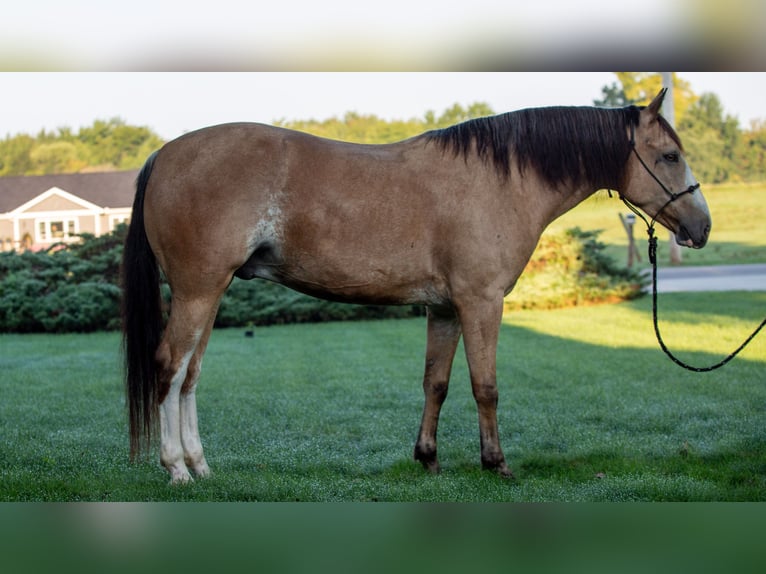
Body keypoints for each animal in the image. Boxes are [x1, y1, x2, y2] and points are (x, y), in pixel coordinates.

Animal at [122, 89, 711, 483]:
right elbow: (485, 386)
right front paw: (496, 463)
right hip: (198, 291)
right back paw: (176, 469)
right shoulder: (480, 302)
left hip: (210, 293)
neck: (499, 181)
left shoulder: (444, 308)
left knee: (190, 375)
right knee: (170, 368)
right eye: (668, 156)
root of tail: (163, 154)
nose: (702, 227)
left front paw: (427, 458)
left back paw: (201, 466)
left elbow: (437, 383)